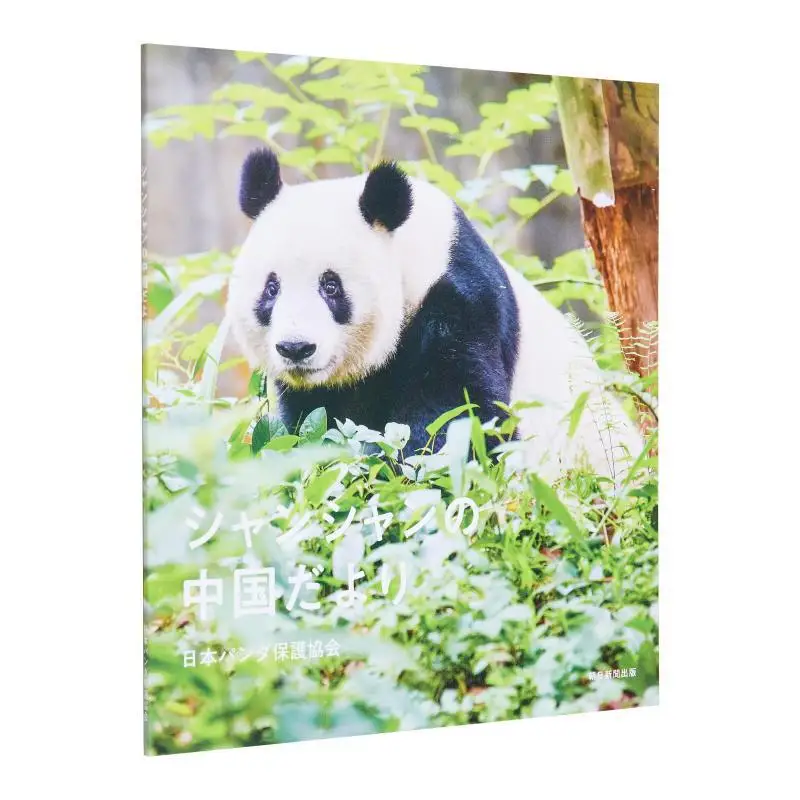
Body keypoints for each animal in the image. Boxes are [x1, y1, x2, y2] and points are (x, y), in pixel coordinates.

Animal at [228, 147, 642, 480]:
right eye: (271, 288)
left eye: (330, 286)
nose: (296, 348)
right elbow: (307, 426)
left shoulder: (458, 299)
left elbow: (461, 417)